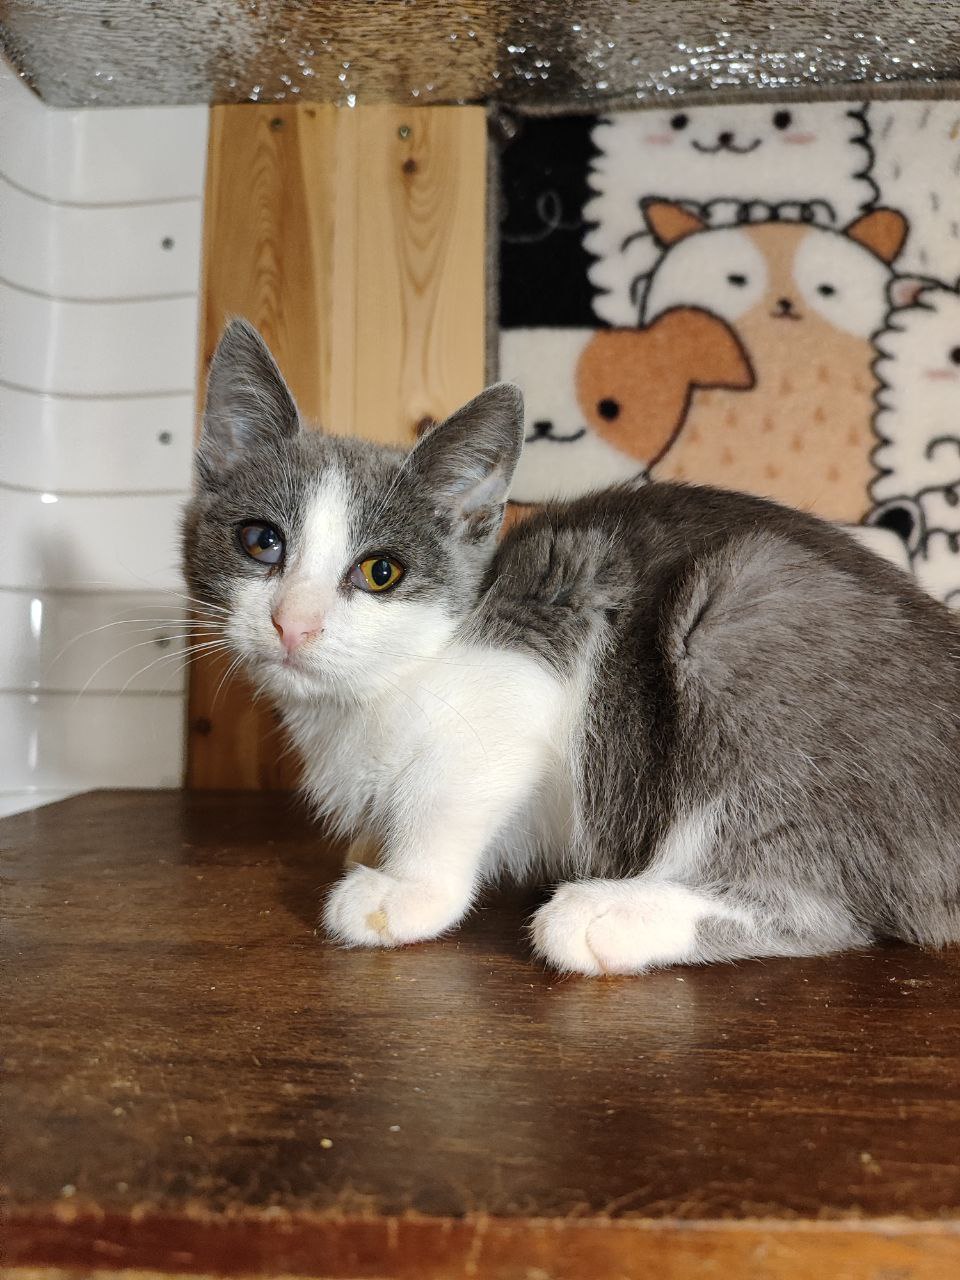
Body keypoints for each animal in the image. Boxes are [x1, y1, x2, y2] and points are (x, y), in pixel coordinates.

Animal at [183, 318, 960, 976]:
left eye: (381, 572)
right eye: (260, 541)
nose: (294, 623)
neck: (378, 692)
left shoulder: (534, 648)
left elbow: (448, 789)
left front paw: (406, 889)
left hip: (742, 608)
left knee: (816, 906)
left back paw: (605, 915)